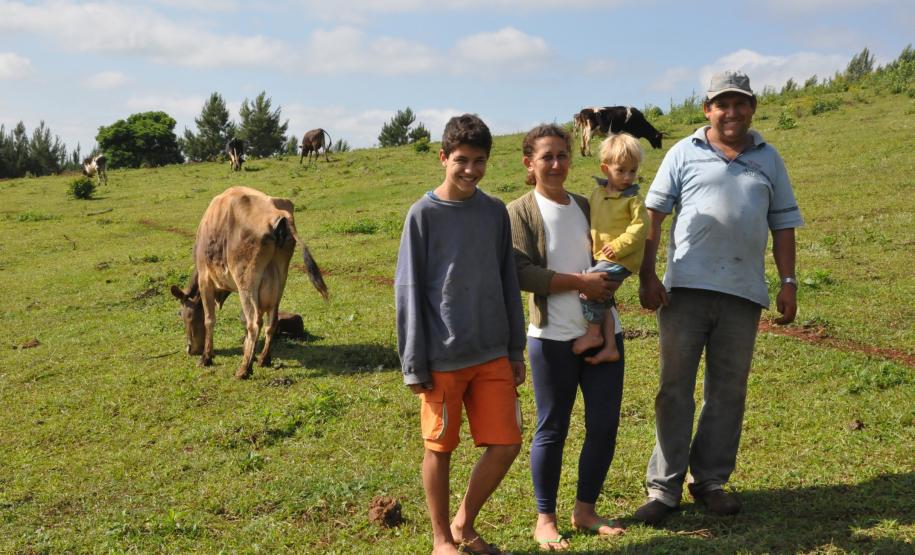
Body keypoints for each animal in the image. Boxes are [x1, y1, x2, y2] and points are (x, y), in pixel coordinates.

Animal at [170, 186, 328, 379]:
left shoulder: (205, 279)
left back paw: (244, 369)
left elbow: (210, 319)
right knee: (271, 322)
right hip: (279, 279)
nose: (190, 349)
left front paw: (206, 357)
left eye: (182, 314)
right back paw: (264, 359)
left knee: (254, 323)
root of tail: (278, 215)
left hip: (246, 280)